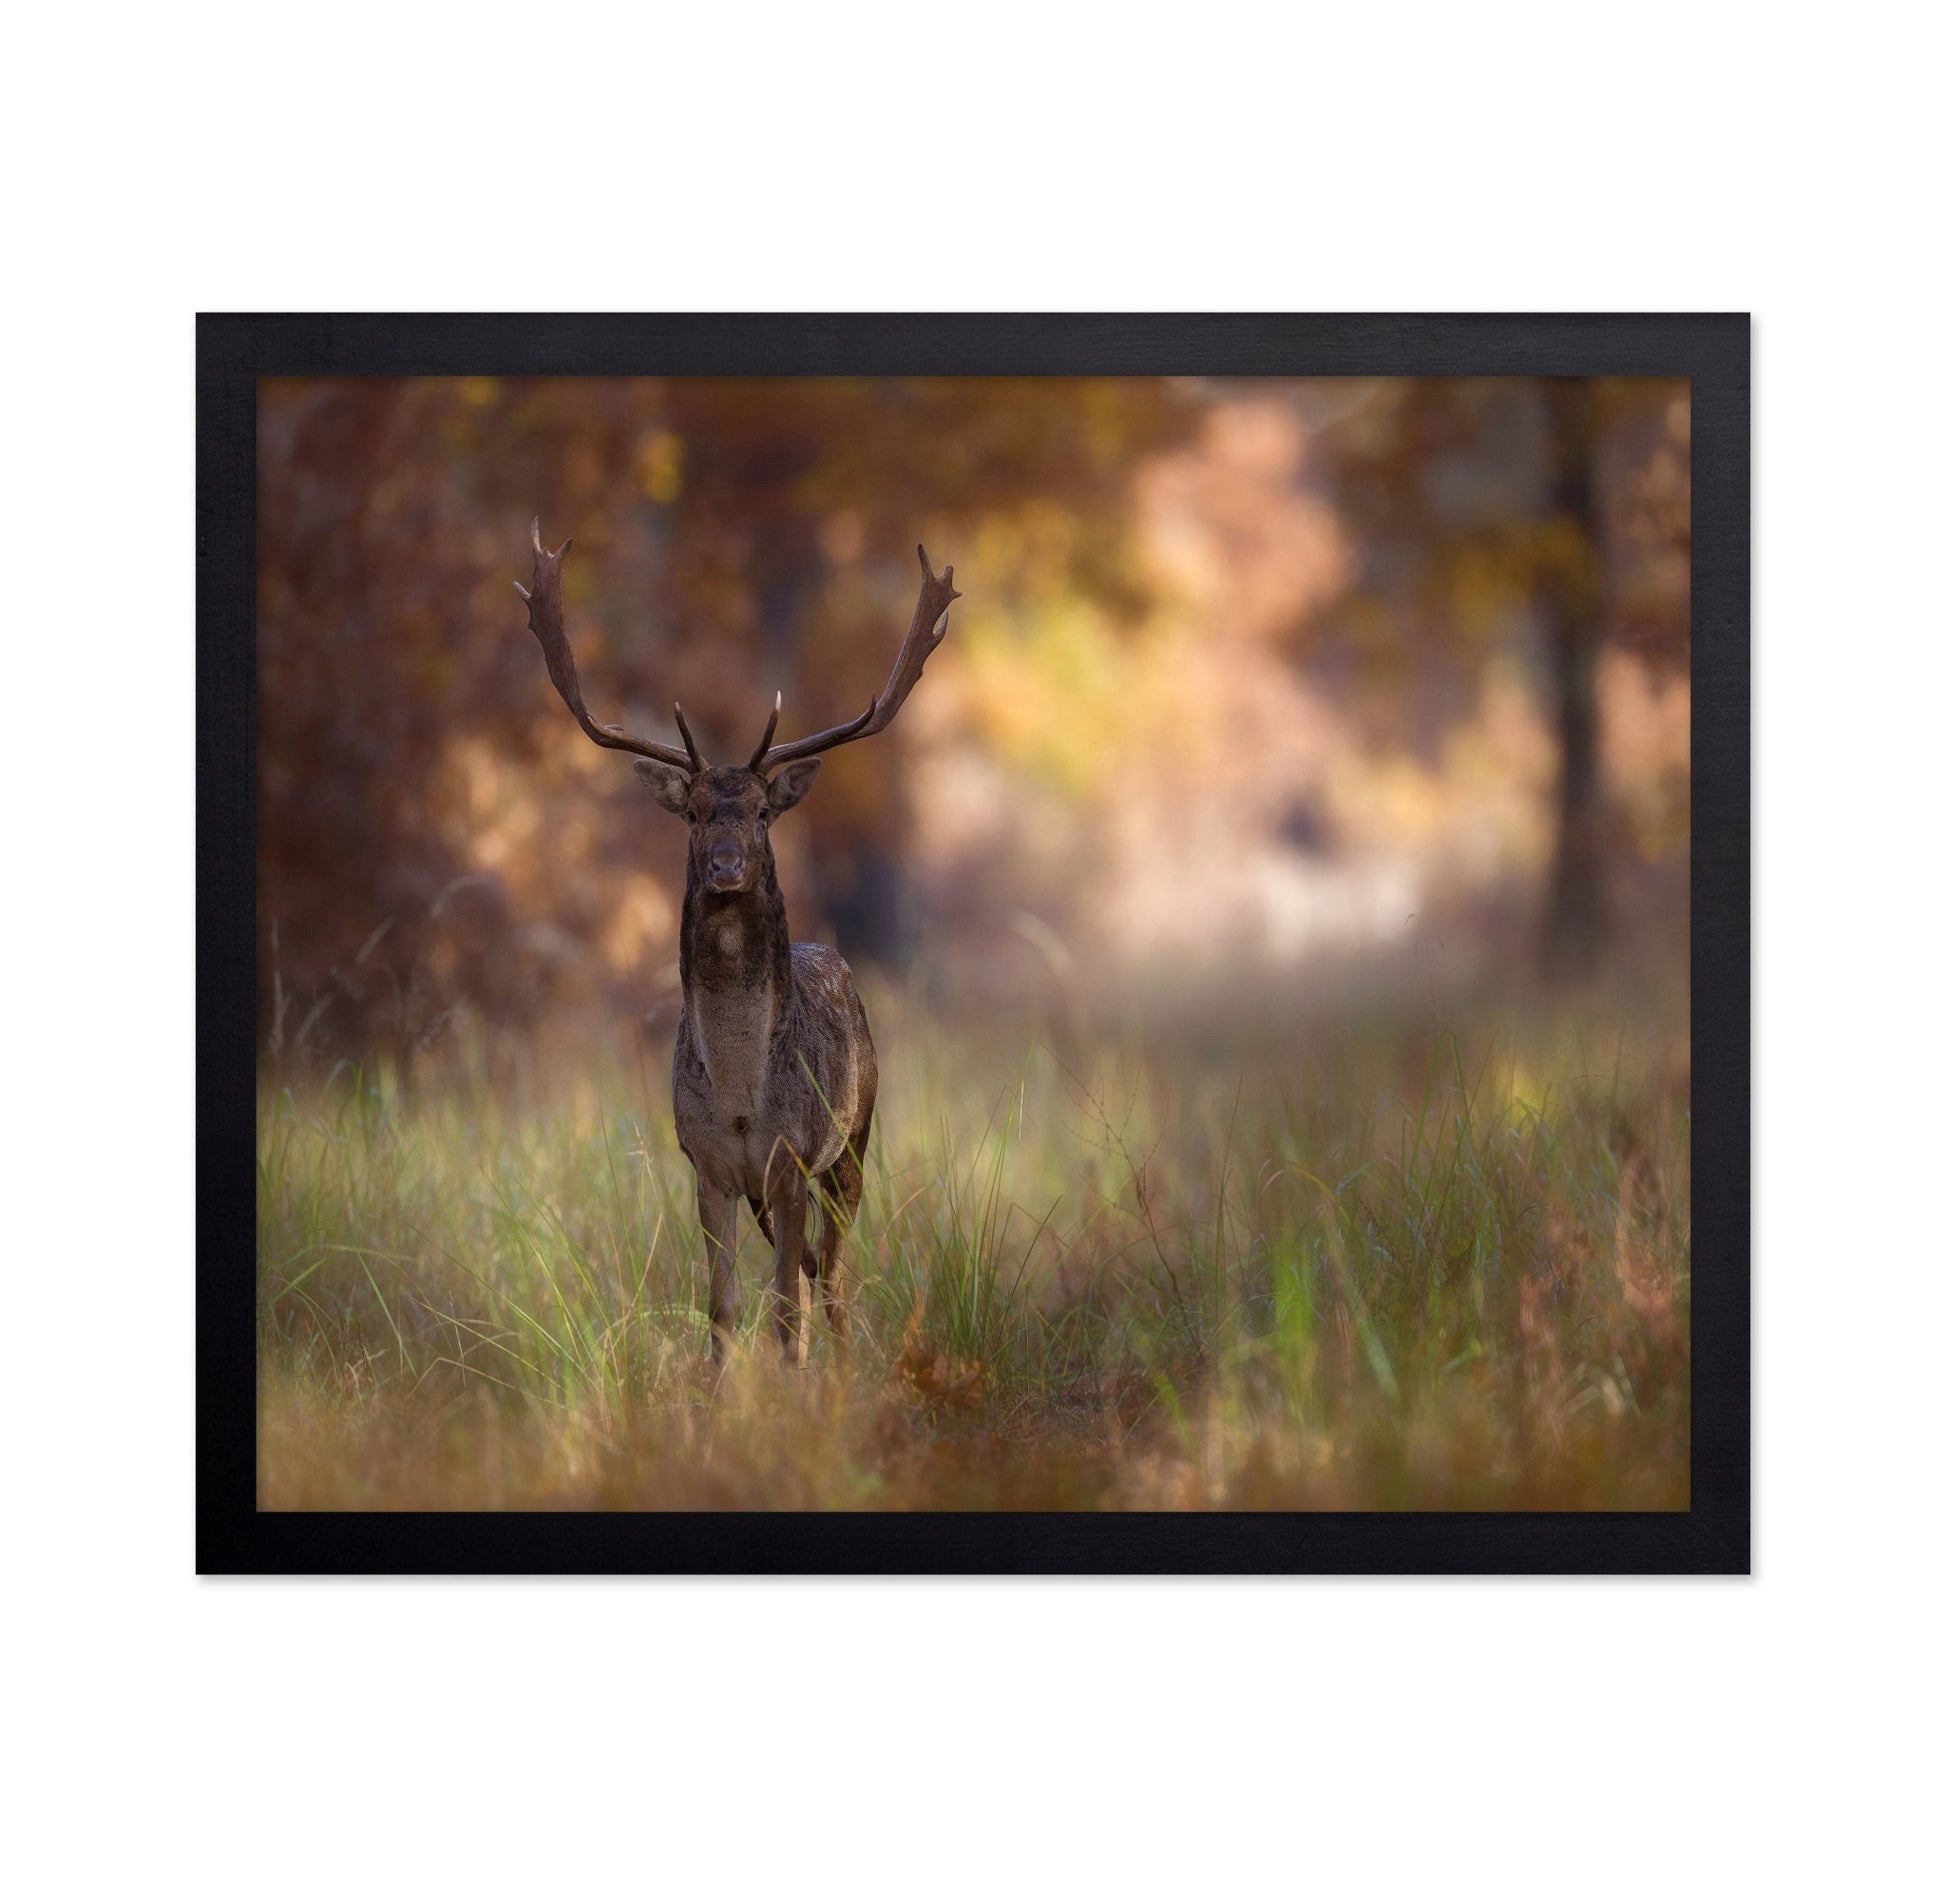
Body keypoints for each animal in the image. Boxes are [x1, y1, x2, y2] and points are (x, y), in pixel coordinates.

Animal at [515, 519, 959, 1366]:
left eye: (760, 812)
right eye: (691, 811)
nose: (725, 866)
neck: (743, 1101)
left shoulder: (791, 1157)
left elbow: (786, 1305)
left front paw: (797, 1383)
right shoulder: (709, 1167)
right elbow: (721, 1307)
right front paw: (717, 1391)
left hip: (857, 1136)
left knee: (832, 1273)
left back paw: (843, 1362)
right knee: (817, 1270)